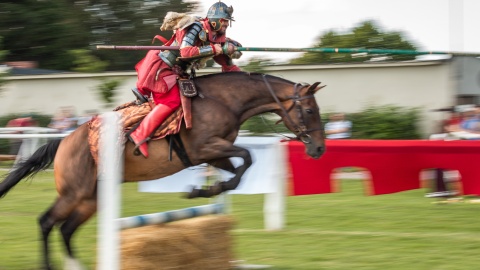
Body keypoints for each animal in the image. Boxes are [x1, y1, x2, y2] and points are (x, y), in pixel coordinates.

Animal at [0, 71, 326, 268]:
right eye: (310, 110)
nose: (319, 149)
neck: (223, 101)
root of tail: (64, 140)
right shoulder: (205, 148)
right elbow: (247, 157)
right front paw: (207, 189)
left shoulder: (214, 154)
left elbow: (239, 169)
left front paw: (207, 189)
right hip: (75, 192)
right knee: (46, 222)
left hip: (92, 197)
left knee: (66, 229)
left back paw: (75, 265)